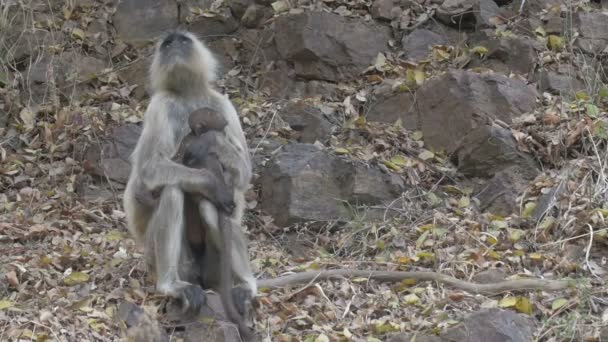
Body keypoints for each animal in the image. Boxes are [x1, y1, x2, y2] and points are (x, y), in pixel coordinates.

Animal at [123, 30, 256, 320]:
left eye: (182, 40)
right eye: (167, 44)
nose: (173, 45)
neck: (187, 95)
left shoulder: (223, 105)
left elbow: (244, 174)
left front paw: (211, 141)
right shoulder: (159, 106)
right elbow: (149, 170)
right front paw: (212, 182)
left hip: (215, 269)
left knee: (212, 209)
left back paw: (246, 285)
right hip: (155, 257)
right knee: (174, 189)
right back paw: (170, 285)